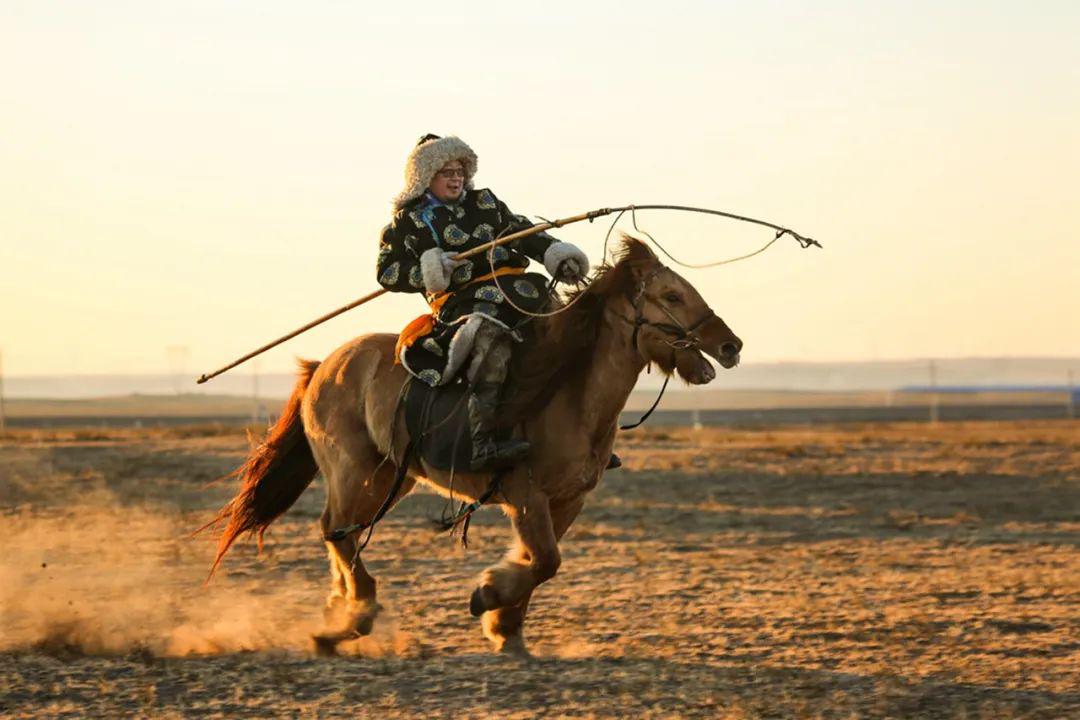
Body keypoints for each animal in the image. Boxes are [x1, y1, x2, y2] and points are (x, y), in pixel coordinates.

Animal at [203, 239, 743, 656]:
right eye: (671, 294)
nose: (731, 345)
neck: (567, 390)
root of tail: (325, 366)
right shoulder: (526, 496)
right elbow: (545, 561)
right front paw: (488, 596)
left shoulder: (568, 500)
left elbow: (540, 563)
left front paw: (507, 629)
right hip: (354, 470)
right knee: (335, 528)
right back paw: (354, 618)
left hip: (389, 477)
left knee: (339, 532)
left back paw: (338, 619)